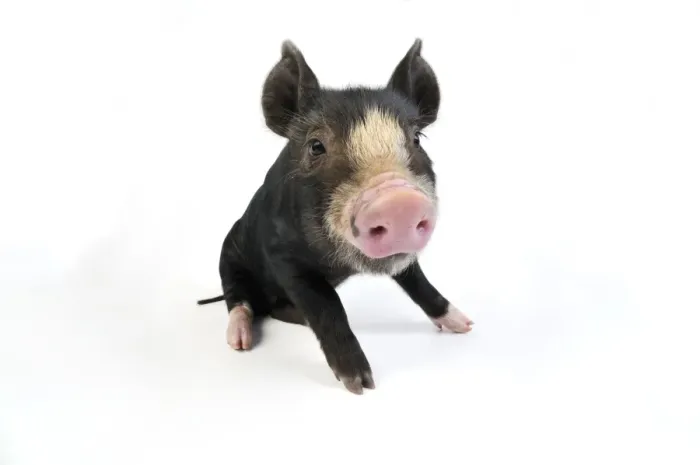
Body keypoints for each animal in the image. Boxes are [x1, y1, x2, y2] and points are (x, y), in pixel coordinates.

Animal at [197, 39, 474, 394]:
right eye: (316, 146)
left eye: (416, 139)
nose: (399, 201)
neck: (339, 265)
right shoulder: (282, 255)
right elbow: (328, 308)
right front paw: (361, 386)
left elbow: (420, 284)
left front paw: (466, 326)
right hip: (229, 255)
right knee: (237, 298)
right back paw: (240, 341)